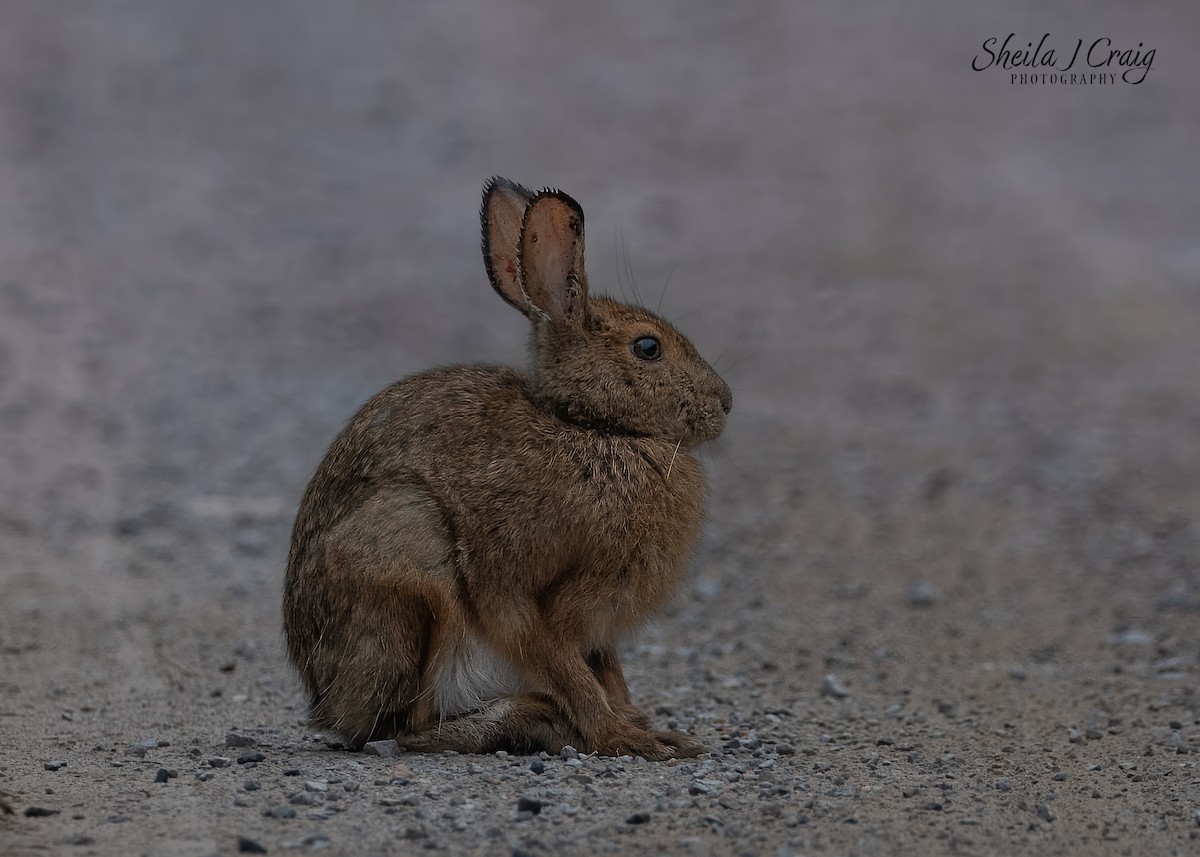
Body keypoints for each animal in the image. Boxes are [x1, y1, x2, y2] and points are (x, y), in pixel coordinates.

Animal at [283, 176, 732, 760]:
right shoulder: (531, 599)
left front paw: (647, 726)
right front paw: (627, 739)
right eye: (648, 347)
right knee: (405, 728)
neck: (594, 429)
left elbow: (608, 675)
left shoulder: (598, 629)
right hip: (412, 560)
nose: (726, 403)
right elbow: (569, 671)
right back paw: (526, 720)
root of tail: (327, 703)